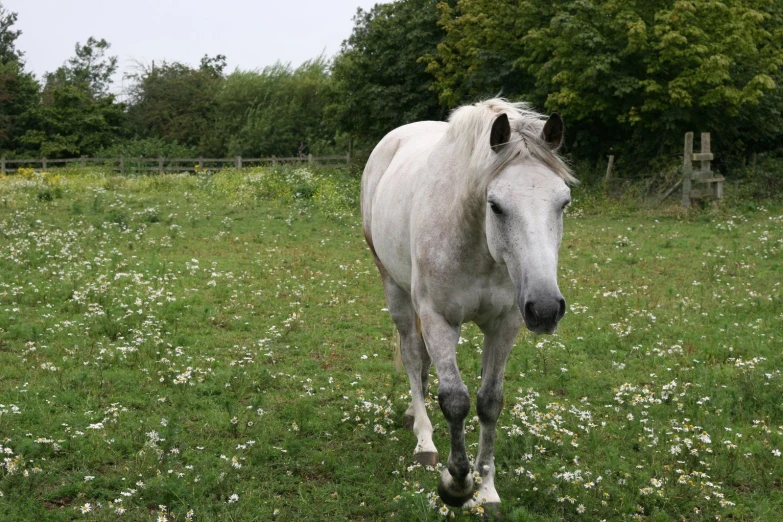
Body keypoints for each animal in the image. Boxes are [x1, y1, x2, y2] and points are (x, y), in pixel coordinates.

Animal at [362, 96, 576, 504]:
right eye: (495, 205)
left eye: (563, 202)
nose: (545, 309)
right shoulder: (436, 317)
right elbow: (455, 401)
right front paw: (456, 483)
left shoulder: (505, 324)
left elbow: (489, 402)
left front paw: (487, 490)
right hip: (394, 288)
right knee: (412, 355)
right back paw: (424, 438)